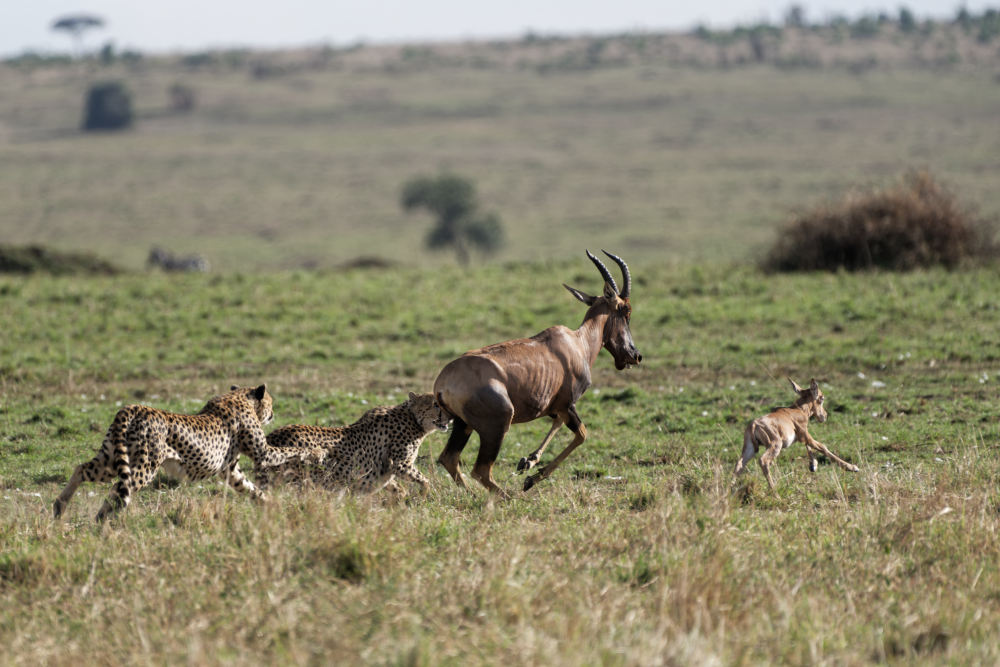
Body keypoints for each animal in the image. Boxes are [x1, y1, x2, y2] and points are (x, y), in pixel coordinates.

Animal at [53, 386, 320, 520]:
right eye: (271, 402)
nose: (273, 412)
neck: (239, 396)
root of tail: (135, 407)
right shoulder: (263, 453)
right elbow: (289, 450)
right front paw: (315, 451)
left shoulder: (230, 471)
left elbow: (250, 487)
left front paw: (268, 504)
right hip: (144, 466)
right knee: (119, 489)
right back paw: (101, 521)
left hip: (110, 458)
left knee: (82, 469)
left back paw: (60, 506)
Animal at [258, 392, 450, 496]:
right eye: (435, 404)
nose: (450, 418)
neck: (413, 418)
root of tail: (273, 436)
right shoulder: (401, 464)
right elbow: (424, 481)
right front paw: (424, 496)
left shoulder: (385, 470)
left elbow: (397, 489)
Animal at [432, 250, 640, 496]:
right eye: (626, 311)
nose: (635, 355)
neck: (576, 343)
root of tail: (444, 381)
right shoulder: (567, 404)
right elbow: (582, 434)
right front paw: (530, 478)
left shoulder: (554, 407)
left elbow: (558, 425)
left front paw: (528, 461)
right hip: (497, 425)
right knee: (481, 470)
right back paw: (508, 496)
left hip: (463, 424)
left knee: (450, 458)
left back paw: (474, 495)